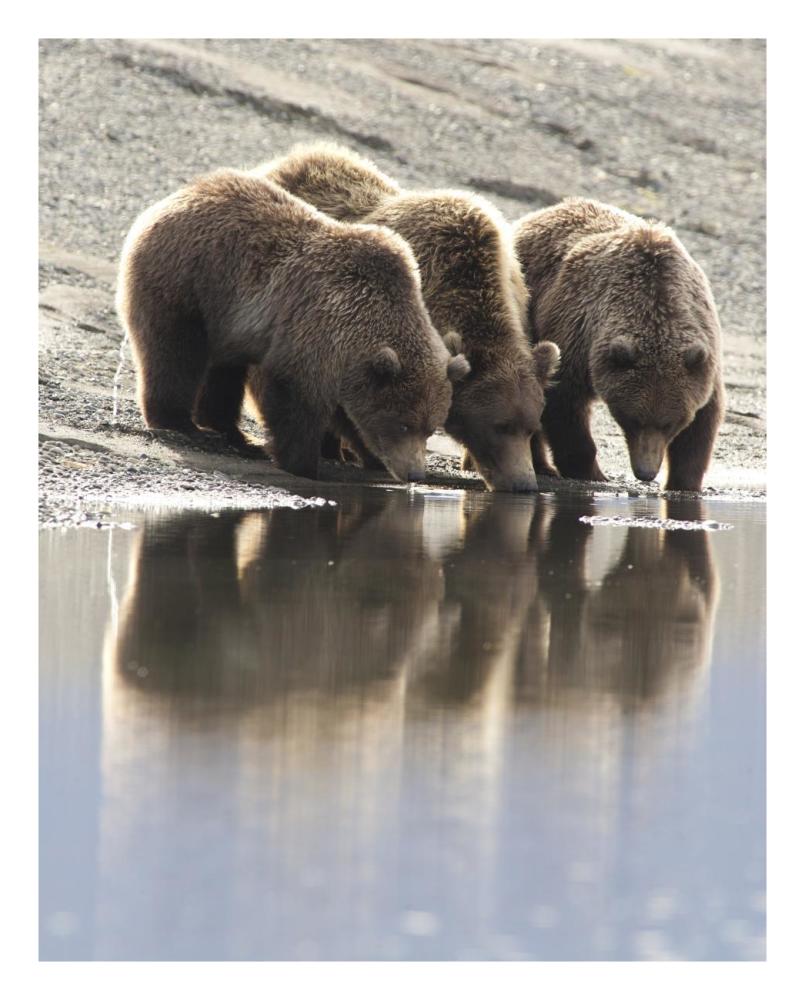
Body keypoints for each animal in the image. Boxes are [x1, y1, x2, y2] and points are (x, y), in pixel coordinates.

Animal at [116, 168, 470, 482]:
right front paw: (302, 462)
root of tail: (178, 195)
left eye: (430, 427)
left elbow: (350, 414)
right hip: (190, 281)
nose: (415, 473)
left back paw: (231, 432)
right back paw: (178, 421)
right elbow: (295, 400)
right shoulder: (315, 333)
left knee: (224, 370)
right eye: (404, 424)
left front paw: (369, 457)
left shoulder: (348, 365)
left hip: (226, 318)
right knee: (174, 353)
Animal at [513, 198, 725, 492]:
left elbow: (703, 421)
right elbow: (564, 402)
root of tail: (543, 212)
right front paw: (591, 471)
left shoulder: (703, 353)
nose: (646, 472)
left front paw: (683, 482)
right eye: (632, 420)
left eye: (670, 423)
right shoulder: (579, 335)